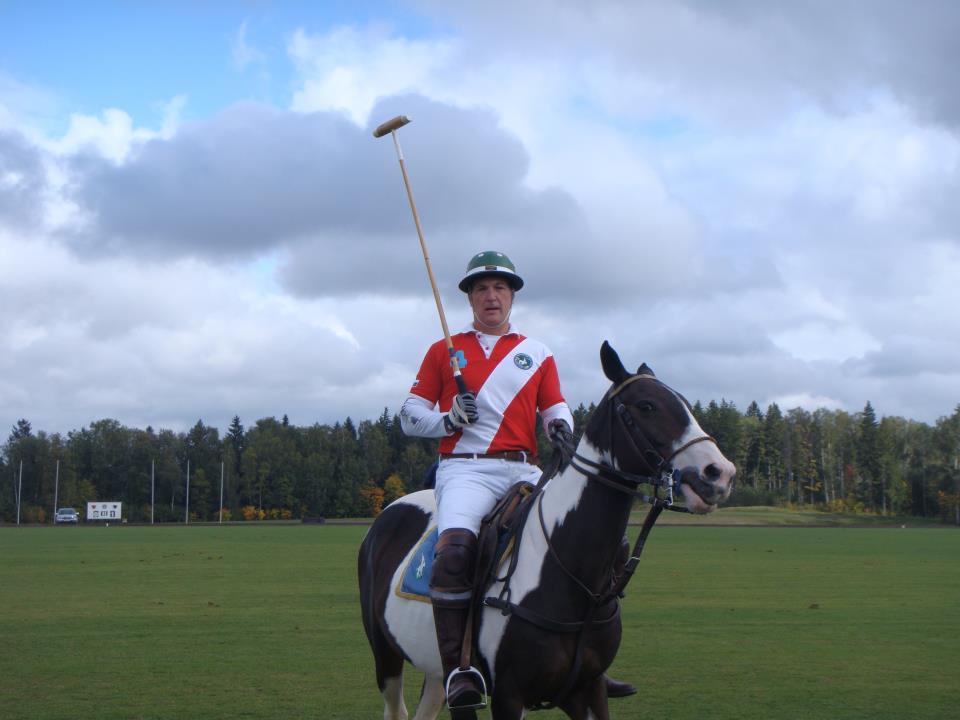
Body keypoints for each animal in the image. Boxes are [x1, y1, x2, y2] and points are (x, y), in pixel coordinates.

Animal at [358, 341, 736, 719]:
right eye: (647, 406)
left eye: (686, 403)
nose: (719, 474)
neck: (569, 573)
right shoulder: (509, 694)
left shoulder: (589, 688)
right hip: (384, 652)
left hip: (437, 669)